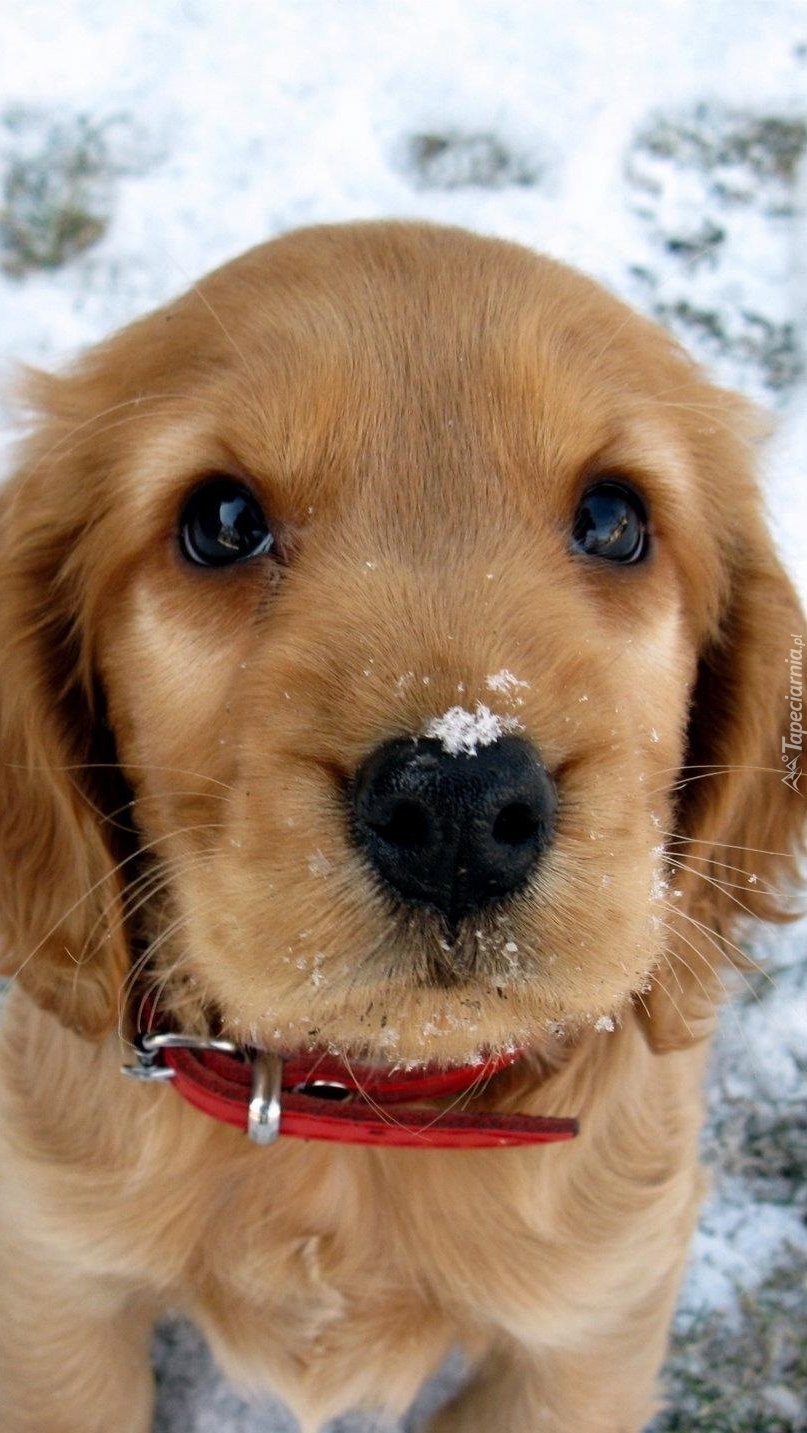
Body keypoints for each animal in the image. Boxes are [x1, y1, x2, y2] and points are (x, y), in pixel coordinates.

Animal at [0, 214, 802, 1433]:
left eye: (614, 518)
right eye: (221, 521)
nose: (457, 806)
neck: (361, 1108)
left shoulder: (590, 1324)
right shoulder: (54, 1284)